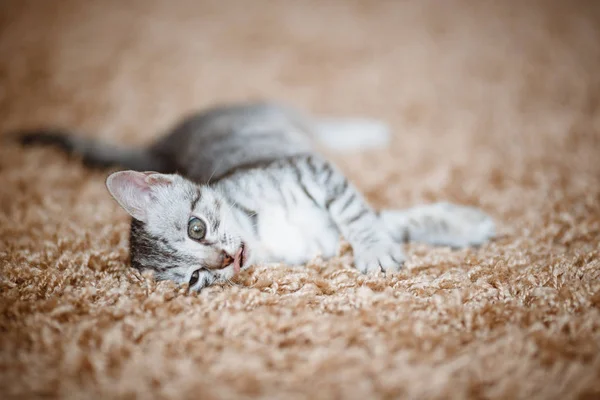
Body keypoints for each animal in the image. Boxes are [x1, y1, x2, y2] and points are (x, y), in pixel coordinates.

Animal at [18, 101, 496, 290]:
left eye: (196, 228)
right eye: (195, 277)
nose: (226, 260)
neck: (265, 231)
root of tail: (159, 146)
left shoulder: (311, 169)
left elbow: (362, 215)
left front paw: (378, 249)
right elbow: (390, 220)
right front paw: (459, 228)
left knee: (313, 123)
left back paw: (365, 131)